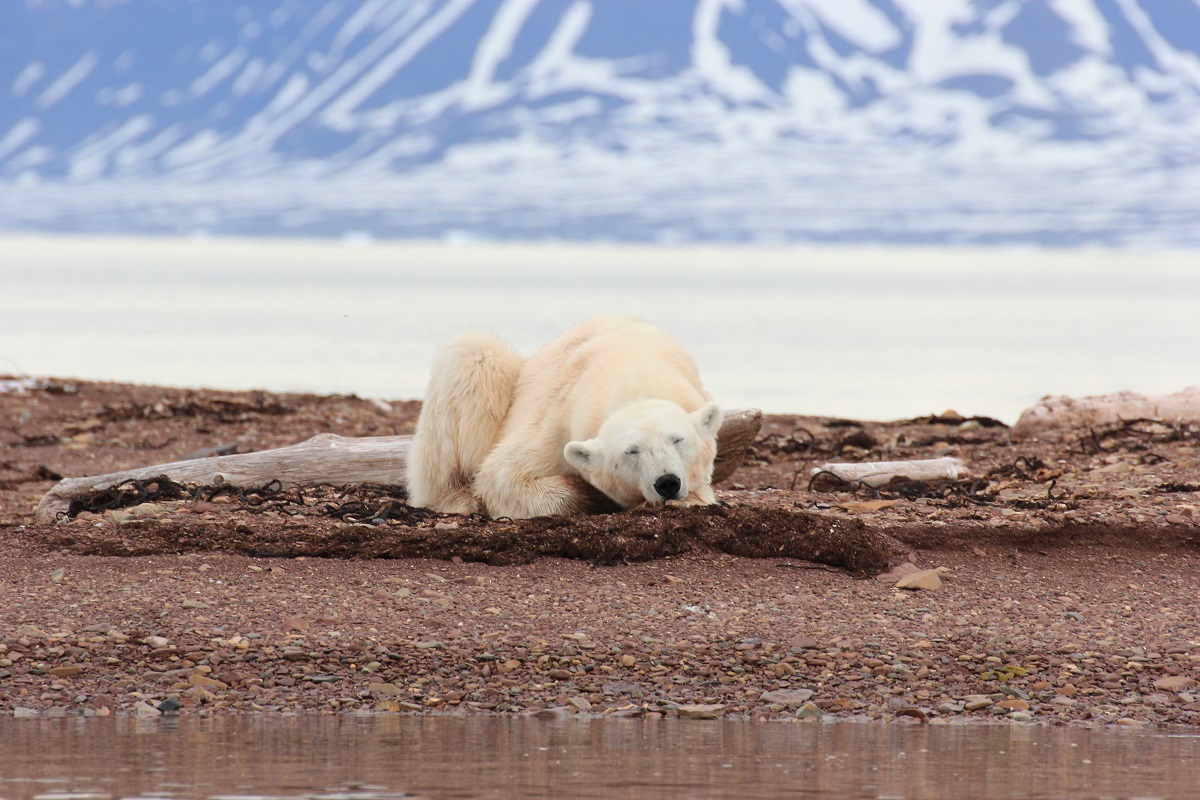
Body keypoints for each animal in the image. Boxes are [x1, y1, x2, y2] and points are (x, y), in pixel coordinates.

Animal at [403, 316, 720, 522]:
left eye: (678, 439)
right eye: (631, 451)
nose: (667, 482)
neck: (636, 377)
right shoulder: (558, 420)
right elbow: (502, 475)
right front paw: (591, 493)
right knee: (474, 352)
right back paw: (459, 497)